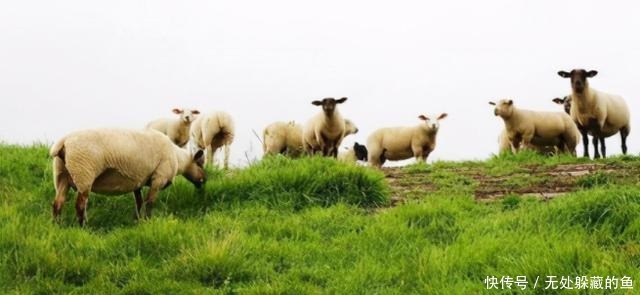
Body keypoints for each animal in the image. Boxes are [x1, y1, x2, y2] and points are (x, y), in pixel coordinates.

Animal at [50, 128, 205, 228]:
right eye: (200, 163)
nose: (204, 180)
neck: (178, 158)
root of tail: (63, 142)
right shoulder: (159, 178)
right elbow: (150, 202)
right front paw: (147, 221)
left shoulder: (138, 182)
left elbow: (139, 202)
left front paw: (137, 221)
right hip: (83, 173)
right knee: (80, 205)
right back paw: (83, 227)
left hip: (61, 174)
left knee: (58, 203)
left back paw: (57, 225)